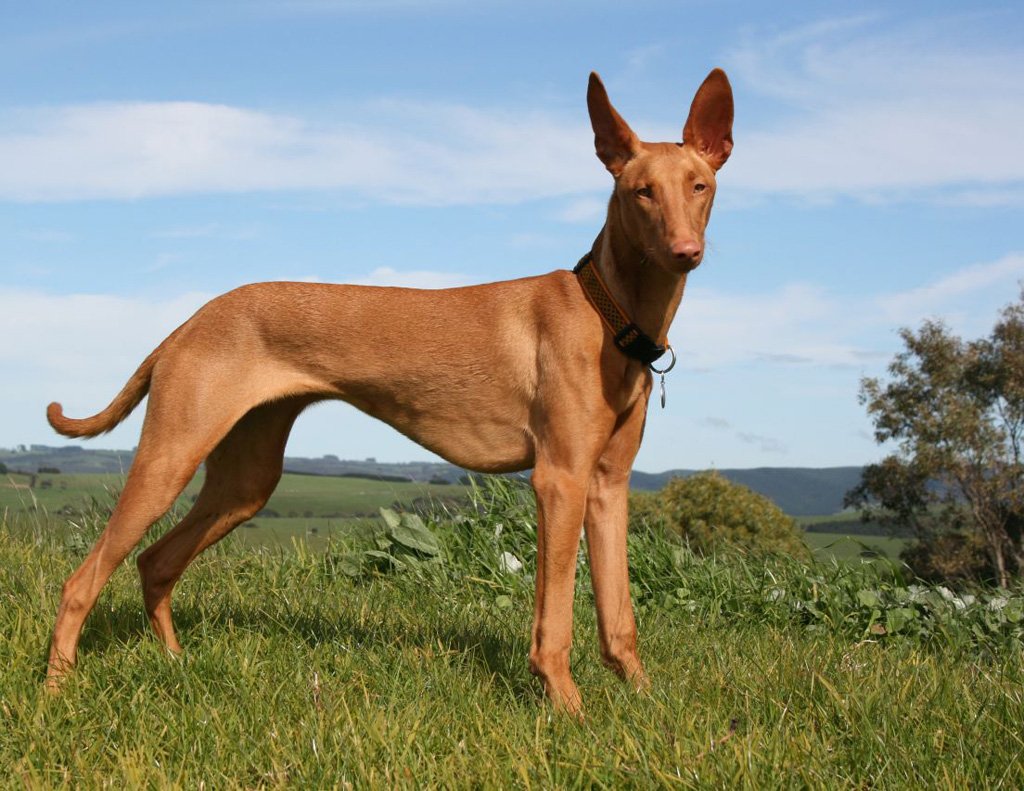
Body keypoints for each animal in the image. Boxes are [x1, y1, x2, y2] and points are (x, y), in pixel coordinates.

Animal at [46, 68, 737, 713]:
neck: (606, 311)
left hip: (244, 481)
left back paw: (174, 663)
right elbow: (554, 623)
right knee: (82, 579)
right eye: (640, 191)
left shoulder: (608, 484)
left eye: (699, 186)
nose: (686, 251)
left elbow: (620, 617)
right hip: (169, 458)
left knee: (155, 562)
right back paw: (55, 690)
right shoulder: (559, 479)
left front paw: (646, 701)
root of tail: (188, 322)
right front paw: (569, 710)